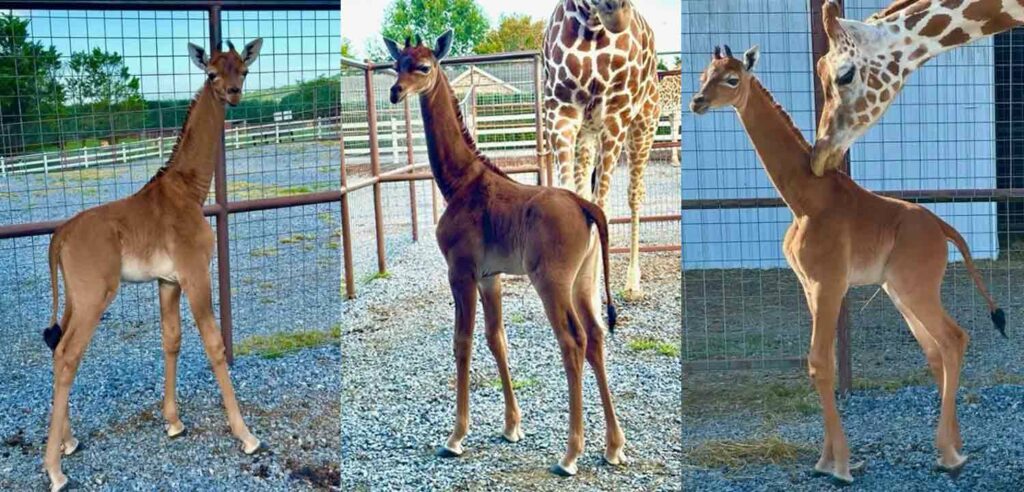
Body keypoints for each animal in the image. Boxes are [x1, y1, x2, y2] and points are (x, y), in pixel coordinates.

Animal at [39, 38, 264, 492]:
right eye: (212, 73)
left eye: (244, 70)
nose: (233, 93)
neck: (190, 190)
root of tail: (60, 237)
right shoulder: (195, 274)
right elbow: (214, 344)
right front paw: (246, 435)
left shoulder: (167, 281)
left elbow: (171, 340)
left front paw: (174, 422)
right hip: (95, 296)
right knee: (68, 354)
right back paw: (54, 470)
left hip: (74, 297)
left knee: (56, 349)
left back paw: (68, 442)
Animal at [385, 30, 622, 475]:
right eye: (397, 64)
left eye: (423, 66)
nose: (395, 92)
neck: (459, 182)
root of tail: (587, 207)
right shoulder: (489, 276)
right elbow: (497, 339)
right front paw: (512, 427)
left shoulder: (460, 271)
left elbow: (462, 341)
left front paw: (456, 437)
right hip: (584, 280)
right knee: (597, 336)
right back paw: (614, 446)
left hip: (552, 282)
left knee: (573, 341)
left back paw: (570, 455)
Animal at [540, 0, 659, 299]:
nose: (618, 11)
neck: (592, 28)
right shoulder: (561, 112)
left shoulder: (616, 114)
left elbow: (602, 206)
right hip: (587, 134)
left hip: (644, 124)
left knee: (634, 194)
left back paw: (632, 282)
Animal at [688, 46, 1007, 483]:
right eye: (704, 74)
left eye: (732, 78)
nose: (697, 102)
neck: (805, 199)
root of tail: (943, 228)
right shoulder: (809, 286)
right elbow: (824, 364)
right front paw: (828, 460)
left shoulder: (829, 283)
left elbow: (820, 362)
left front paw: (838, 465)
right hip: (899, 292)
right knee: (936, 349)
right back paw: (955, 447)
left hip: (916, 288)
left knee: (954, 338)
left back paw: (949, 454)